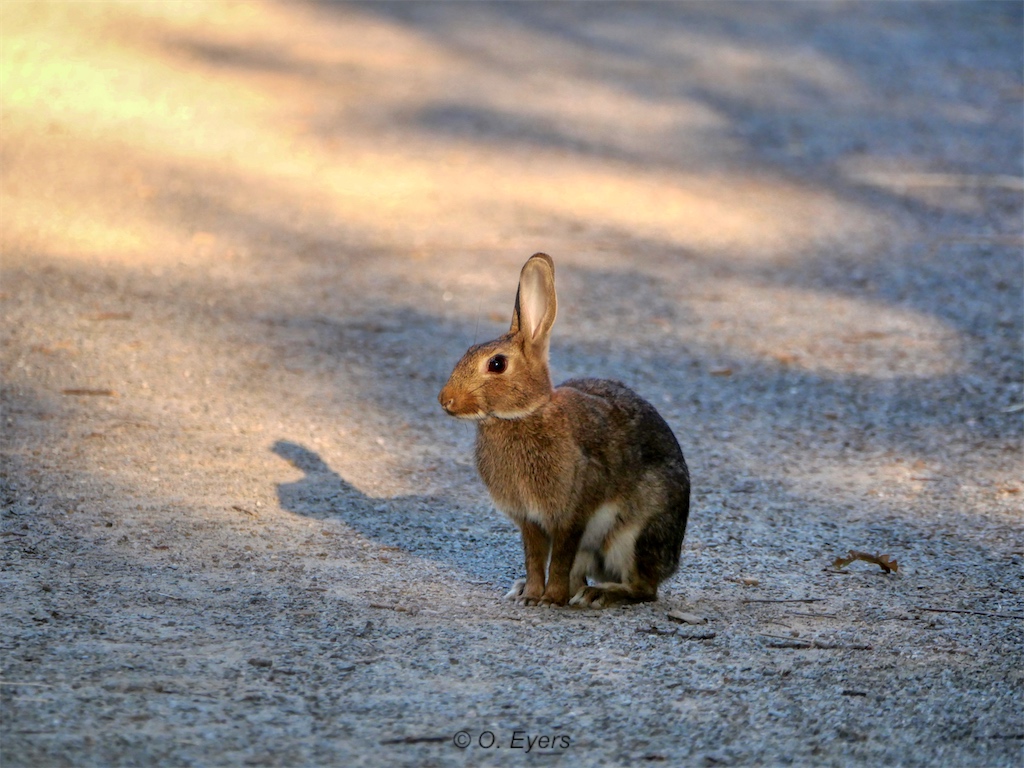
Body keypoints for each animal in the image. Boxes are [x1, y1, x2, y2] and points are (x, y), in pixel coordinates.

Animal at [436, 252, 692, 606]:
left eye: (497, 364)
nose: (445, 400)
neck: (522, 416)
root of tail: (673, 561)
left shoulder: (572, 514)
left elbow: (558, 559)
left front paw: (548, 599)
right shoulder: (529, 519)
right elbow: (533, 559)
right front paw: (530, 595)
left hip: (635, 535)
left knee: (644, 588)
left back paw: (598, 594)